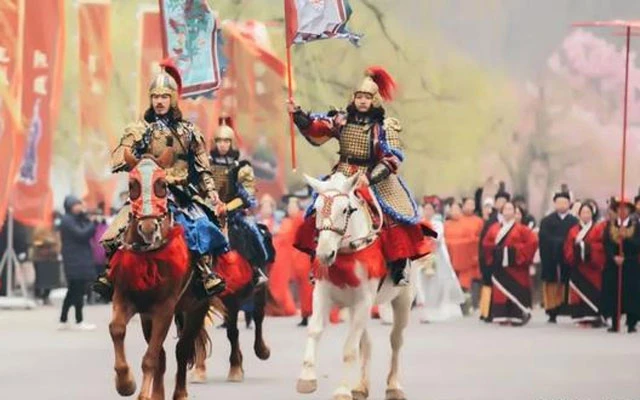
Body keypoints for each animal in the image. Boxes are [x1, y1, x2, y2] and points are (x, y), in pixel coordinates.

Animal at [107, 148, 222, 398]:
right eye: (132, 184)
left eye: (161, 184)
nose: (148, 228)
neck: (148, 253)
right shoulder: (127, 299)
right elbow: (118, 329)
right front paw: (125, 383)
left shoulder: (164, 307)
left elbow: (151, 358)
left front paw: (141, 393)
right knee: (163, 354)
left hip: (197, 306)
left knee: (182, 350)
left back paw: (180, 393)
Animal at [296, 173, 412, 400]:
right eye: (316, 209)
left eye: (345, 210)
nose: (324, 254)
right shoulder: (322, 293)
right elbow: (315, 331)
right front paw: (306, 379)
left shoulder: (364, 300)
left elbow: (350, 348)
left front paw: (342, 390)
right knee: (366, 343)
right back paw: (360, 386)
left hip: (403, 297)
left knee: (396, 339)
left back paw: (394, 386)